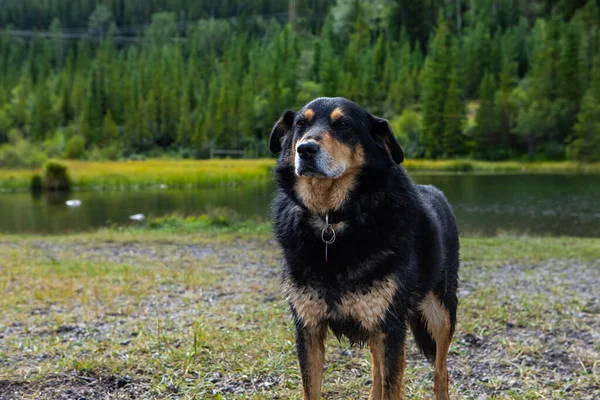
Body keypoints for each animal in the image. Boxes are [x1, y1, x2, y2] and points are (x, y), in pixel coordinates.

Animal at [268, 97, 460, 400]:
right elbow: (313, 388)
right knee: (377, 370)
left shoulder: (390, 327)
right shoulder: (308, 326)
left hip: (440, 312)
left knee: (441, 371)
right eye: (301, 123)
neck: (332, 219)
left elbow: (393, 386)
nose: (305, 149)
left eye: (344, 124)